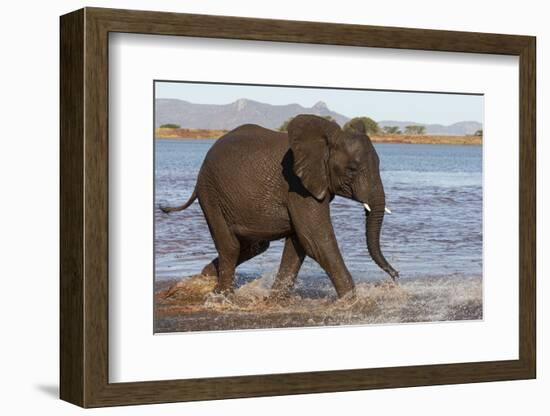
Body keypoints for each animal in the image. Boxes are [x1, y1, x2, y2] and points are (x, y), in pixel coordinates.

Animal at [162, 114, 398, 300]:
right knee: (231, 246)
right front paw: (352, 302)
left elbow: (299, 243)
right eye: (352, 169)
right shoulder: (297, 186)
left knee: (254, 246)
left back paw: (200, 280)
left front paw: (275, 300)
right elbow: (316, 240)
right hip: (210, 193)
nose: (395, 277)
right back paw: (223, 296)